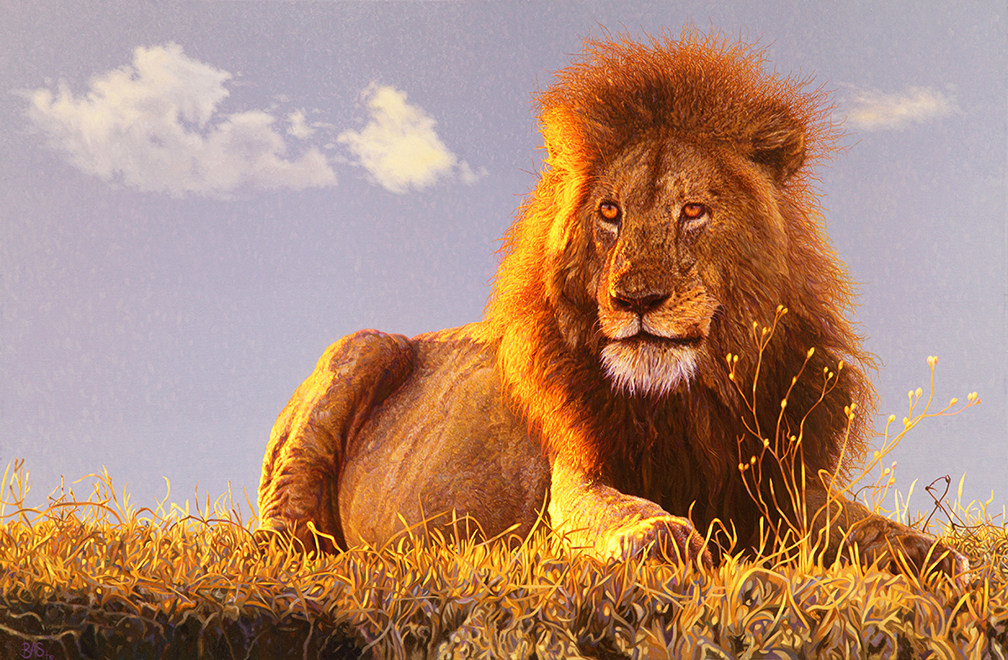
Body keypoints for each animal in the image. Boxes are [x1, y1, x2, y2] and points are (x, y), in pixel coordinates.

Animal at [257, 32, 968, 581]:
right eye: (609, 212)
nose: (637, 300)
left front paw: (929, 553)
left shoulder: (788, 484)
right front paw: (667, 537)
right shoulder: (572, 479)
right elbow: (631, 517)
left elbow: (878, 531)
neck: (684, 399)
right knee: (281, 539)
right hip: (358, 348)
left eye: (693, 211)